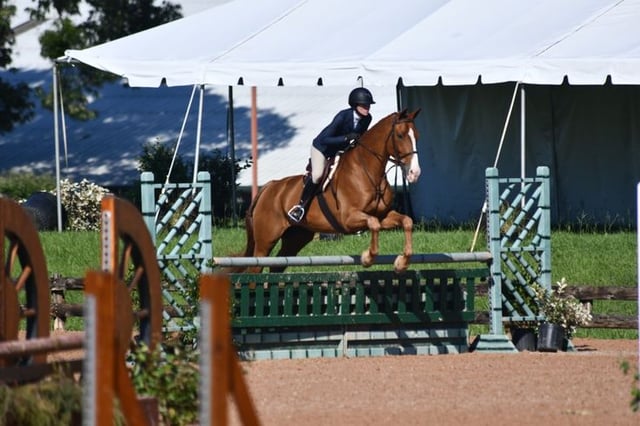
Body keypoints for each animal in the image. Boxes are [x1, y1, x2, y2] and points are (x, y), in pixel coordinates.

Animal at [232, 108, 422, 273]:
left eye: (417, 136)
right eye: (400, 135)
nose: (415, 173)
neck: (367, 171)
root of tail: (268, 187)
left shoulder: (383, 215)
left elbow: (406, 221)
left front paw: (401, 263)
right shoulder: (348, 218)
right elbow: (373, 224)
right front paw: (367, 258)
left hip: (296, 237)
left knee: (277, 265)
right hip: (266, 239)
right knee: (256, 266)